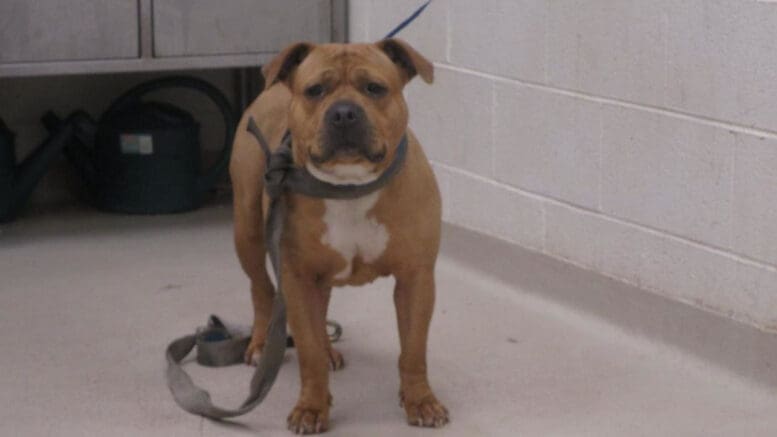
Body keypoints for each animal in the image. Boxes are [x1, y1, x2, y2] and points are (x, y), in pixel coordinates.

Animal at [230, 38, 446, 432]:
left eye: (374, 88)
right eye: (315, 90)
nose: (344, 112)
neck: (350, 186)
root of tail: (273, 90)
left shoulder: (416, 279)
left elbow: (413, 349)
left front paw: (420, 401)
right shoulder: (297, 278)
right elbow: (309, 352)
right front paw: (312, 407)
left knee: (321, 309)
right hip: (248, 231)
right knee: (262, 289)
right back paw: (260, 343)